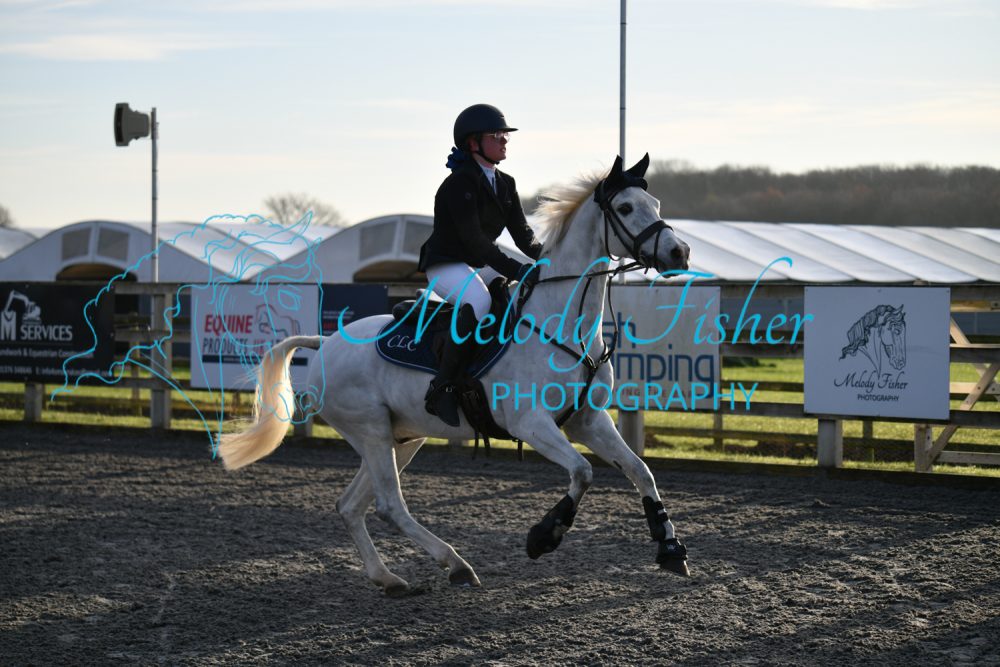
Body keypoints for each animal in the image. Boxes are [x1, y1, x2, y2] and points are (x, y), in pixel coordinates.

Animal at [218, 154, 693, 595]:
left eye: (654, 203)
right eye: (626, 208)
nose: (679, 252)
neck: (562, 324)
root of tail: (327, 342)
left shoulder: (588, 422)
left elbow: (641, 472)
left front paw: (670, 548)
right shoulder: (531, 424)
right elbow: (582, 472)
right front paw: (545, 535)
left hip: (401, 437)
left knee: (351, 505)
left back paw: (389, 578)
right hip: (371, 432)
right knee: (388, 505)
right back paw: (456, 564)